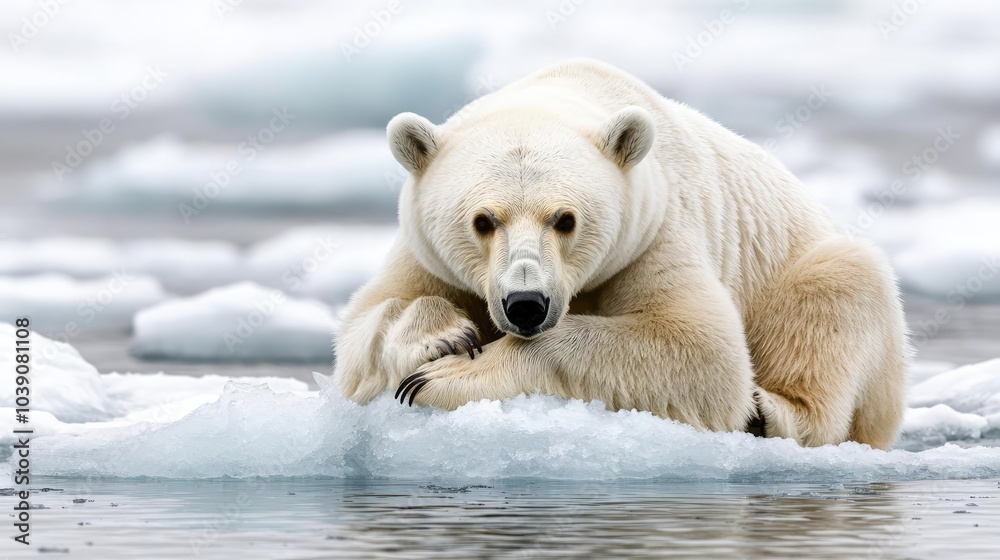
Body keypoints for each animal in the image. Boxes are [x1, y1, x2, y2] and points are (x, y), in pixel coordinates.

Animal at [333, 59, 909, 450]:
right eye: (482, 221)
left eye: (565, 219)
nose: (526, 304)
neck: (565, 90)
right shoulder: (425, 252)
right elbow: (365, 326)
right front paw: (442, 336)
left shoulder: (653, 229)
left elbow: (701, 350)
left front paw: (437, 379)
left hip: (808, 271)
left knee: (837, 297)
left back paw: (768, 413)